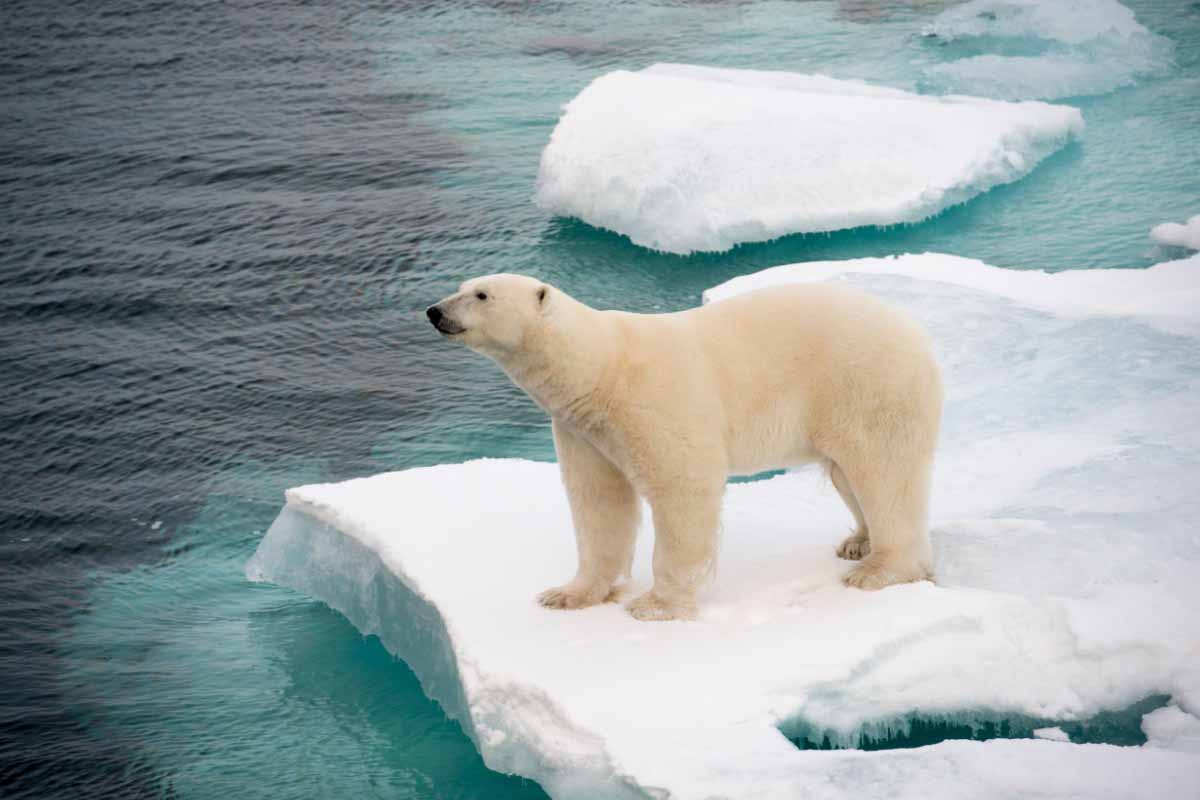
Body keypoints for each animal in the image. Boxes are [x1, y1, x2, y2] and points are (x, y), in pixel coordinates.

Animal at [427, 273, 940, 618]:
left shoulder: (655, 401)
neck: (601, 368)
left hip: (868, 385)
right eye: (461, 285)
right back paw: (858, 542)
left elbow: (682, 488)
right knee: (847, 474)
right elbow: (598, 502)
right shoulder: (583, 430)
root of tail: (914, 330)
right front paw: (568, 594)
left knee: (883, 471)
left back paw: (880, 568)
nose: (434, 311)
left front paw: (656, 605)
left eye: (482, 294)